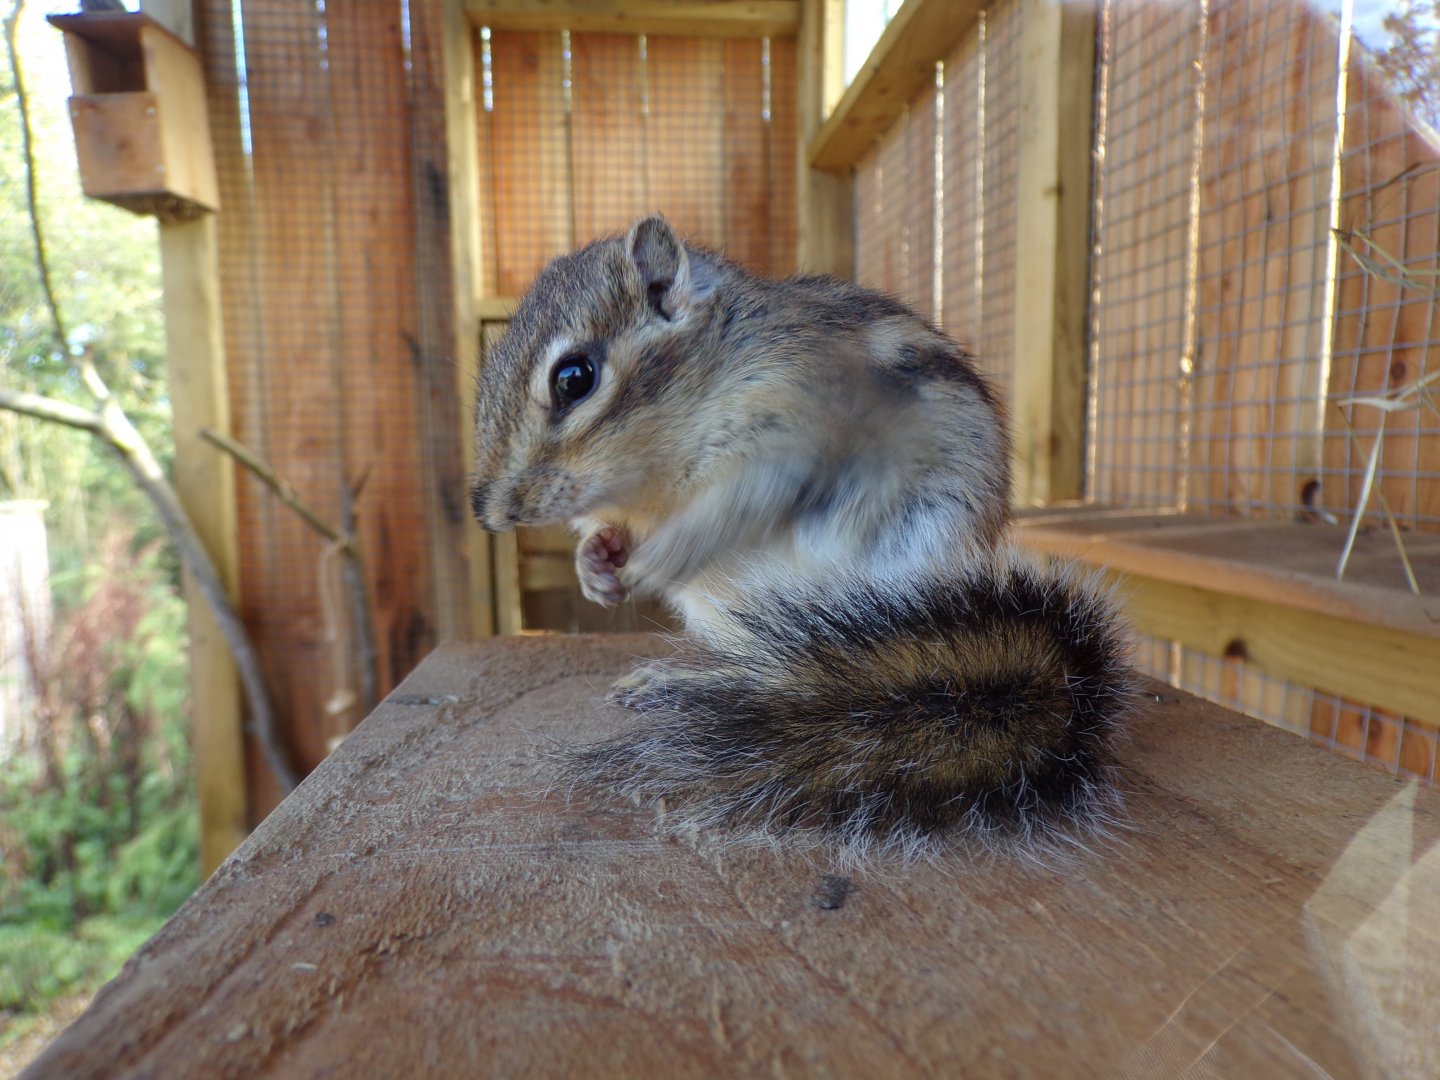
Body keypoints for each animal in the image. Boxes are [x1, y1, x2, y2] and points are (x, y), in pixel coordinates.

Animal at [469, 216, 1135, 860]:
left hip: (891, 583)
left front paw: (661, 557)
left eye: (574, 378)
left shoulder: (799, 416)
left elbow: (743, 503)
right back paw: (676, 681)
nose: (489, 511)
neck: (657, 475)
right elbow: (606, 530)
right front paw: (596, 564)